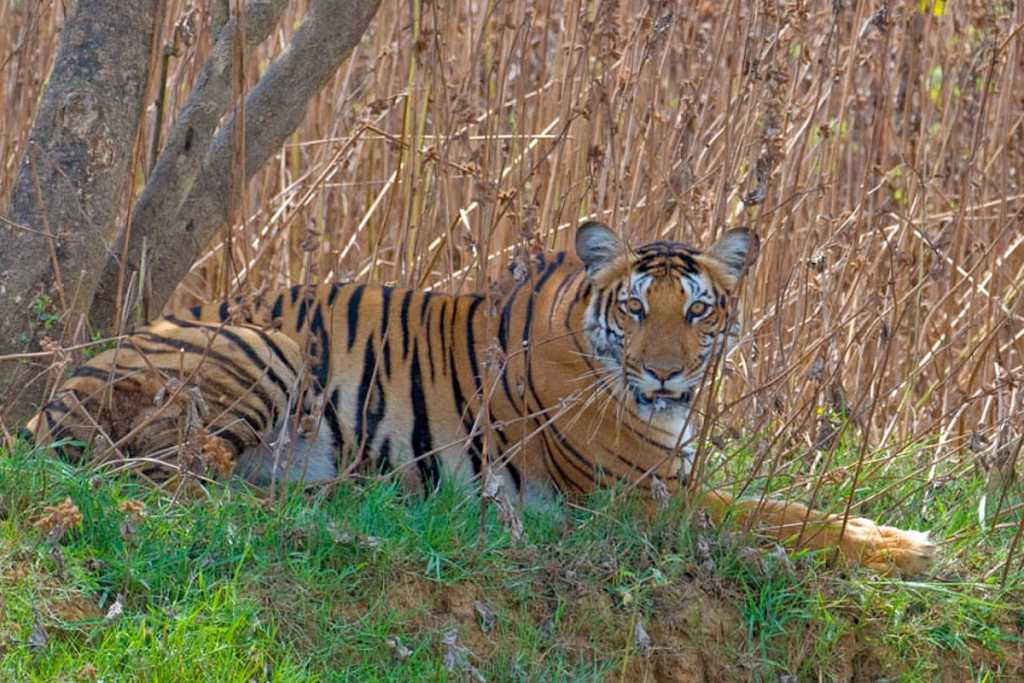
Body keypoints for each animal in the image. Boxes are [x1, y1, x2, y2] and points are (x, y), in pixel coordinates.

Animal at [24, 222, 937, 573]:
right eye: (638, 309)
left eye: (699, 310)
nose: (667, 374)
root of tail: (52, 399)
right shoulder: (640, 498)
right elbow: (775, 516)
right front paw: (909, 547)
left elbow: (780, 506)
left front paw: (895, 534)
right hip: (266, 348)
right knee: (175, 473)